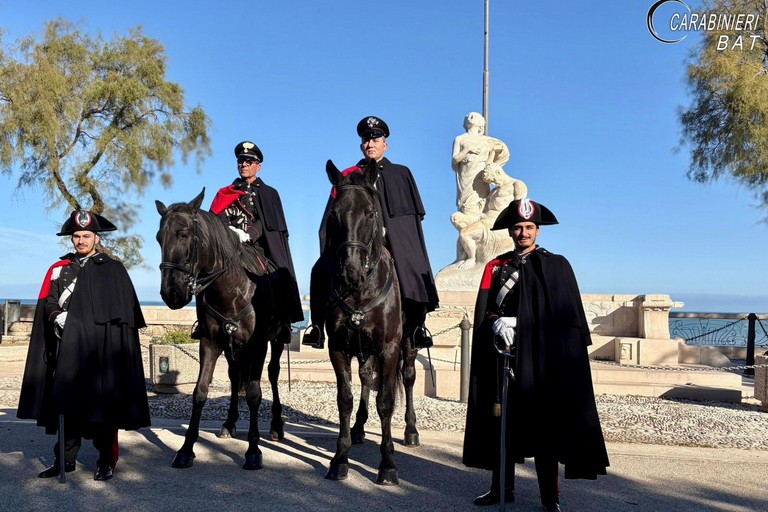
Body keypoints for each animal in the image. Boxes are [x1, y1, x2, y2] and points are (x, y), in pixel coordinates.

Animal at [154, 190, 286, 470]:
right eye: (159, 238)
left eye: (183, 234)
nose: (171, 294)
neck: (232, 288)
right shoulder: (211, 342)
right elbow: (200, 391)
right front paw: (186, 449)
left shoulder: (257, 344)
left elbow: (255, 393)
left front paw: (253, 450)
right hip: (232, 346)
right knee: (235, 376)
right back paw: (229, 422)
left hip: (277, 340)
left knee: (273, 373)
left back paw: (277, 426)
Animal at [324, 159, 420, 484]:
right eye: (334, 214)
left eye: (370, 212)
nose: (350, 272)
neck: (360, 291)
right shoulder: (338, 347)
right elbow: (345, 398)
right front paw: (340, 458)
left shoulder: (389, 349)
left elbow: (386, 401)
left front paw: (388, 464)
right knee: (366, 377)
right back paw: (358, 428)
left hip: (407, 342)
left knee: (409, 376)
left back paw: (411, 430)